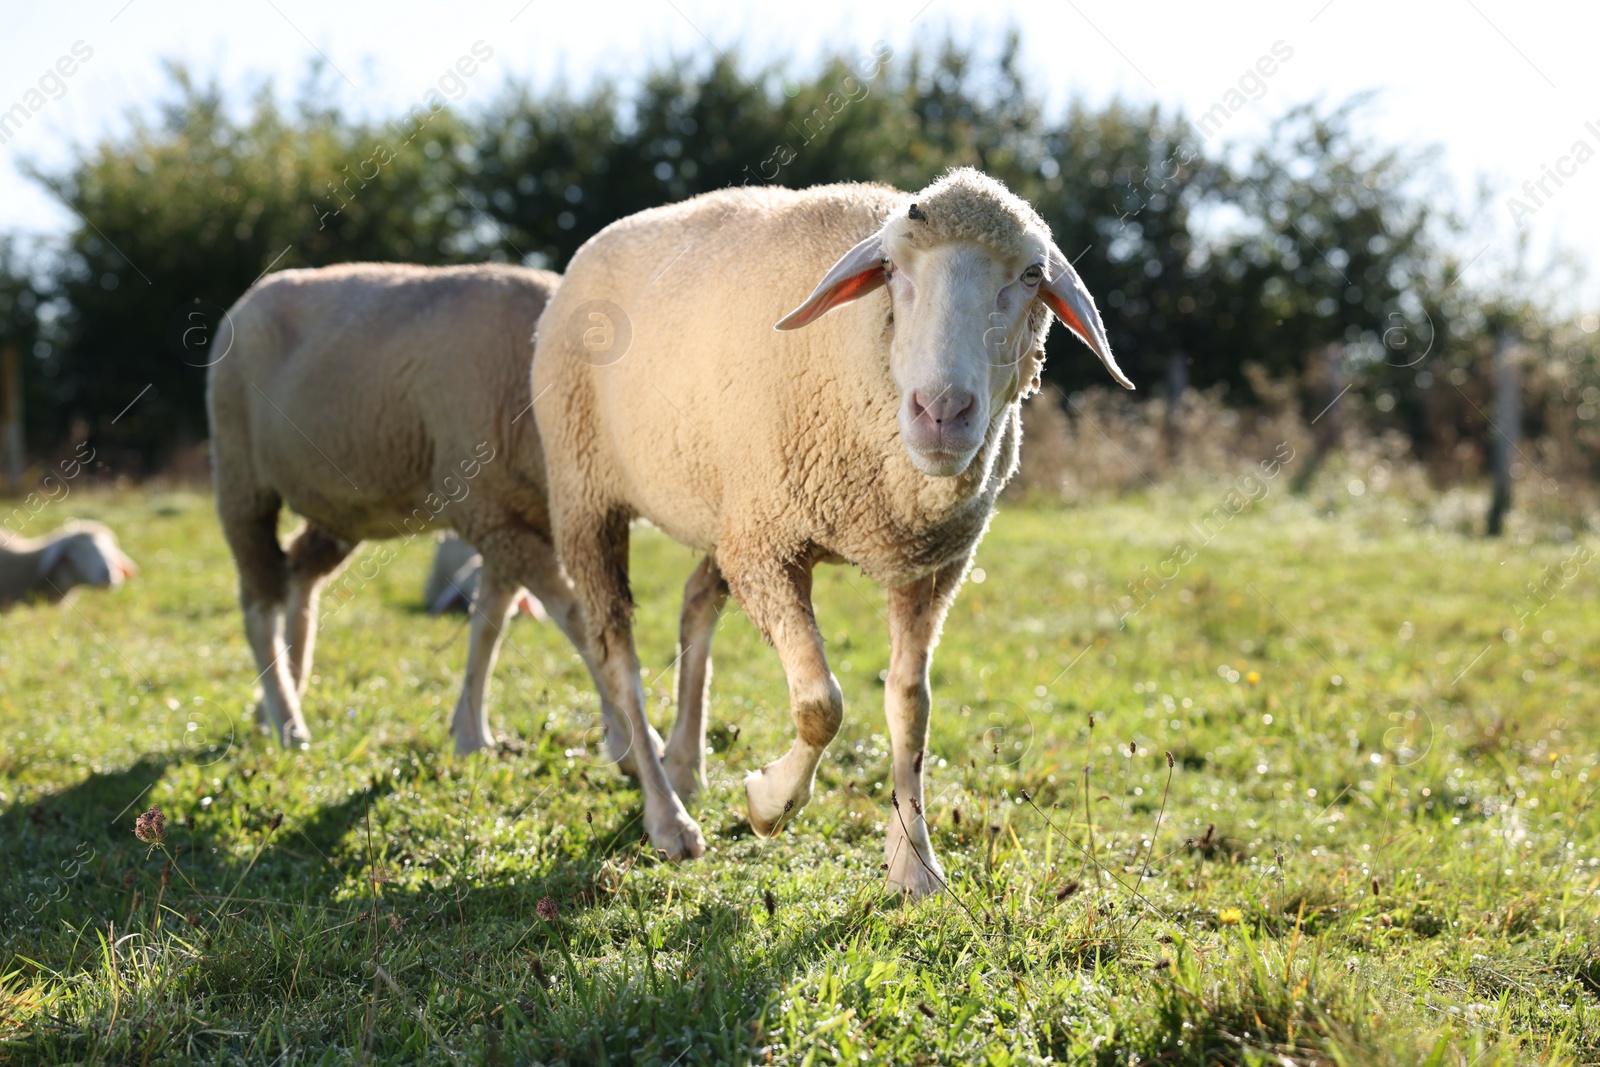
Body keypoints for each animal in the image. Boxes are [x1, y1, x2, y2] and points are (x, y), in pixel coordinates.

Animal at [209, 265, 659, 767]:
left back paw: (274, 703)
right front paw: (635, 743)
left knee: (300, 574)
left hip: (340, 503)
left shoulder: (510, 516)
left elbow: (489, 623)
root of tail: (255, 293)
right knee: (258, 604)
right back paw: (288, 722)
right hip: (240, 476)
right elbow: (577, 617)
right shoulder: (486, 510)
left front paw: (469, 735)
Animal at [531, 164, 1132, 883]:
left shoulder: (930, 565)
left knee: (696, 601)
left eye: (1032, 275)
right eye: (891, 268)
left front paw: (914, 863)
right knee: (617, 653)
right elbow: (822, 705)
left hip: (725, 506)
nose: (942, 412)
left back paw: (684, 765)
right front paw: (768, 803)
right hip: (587, 494)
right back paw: (666, 815)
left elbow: (911, 704)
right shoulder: (768, 546)